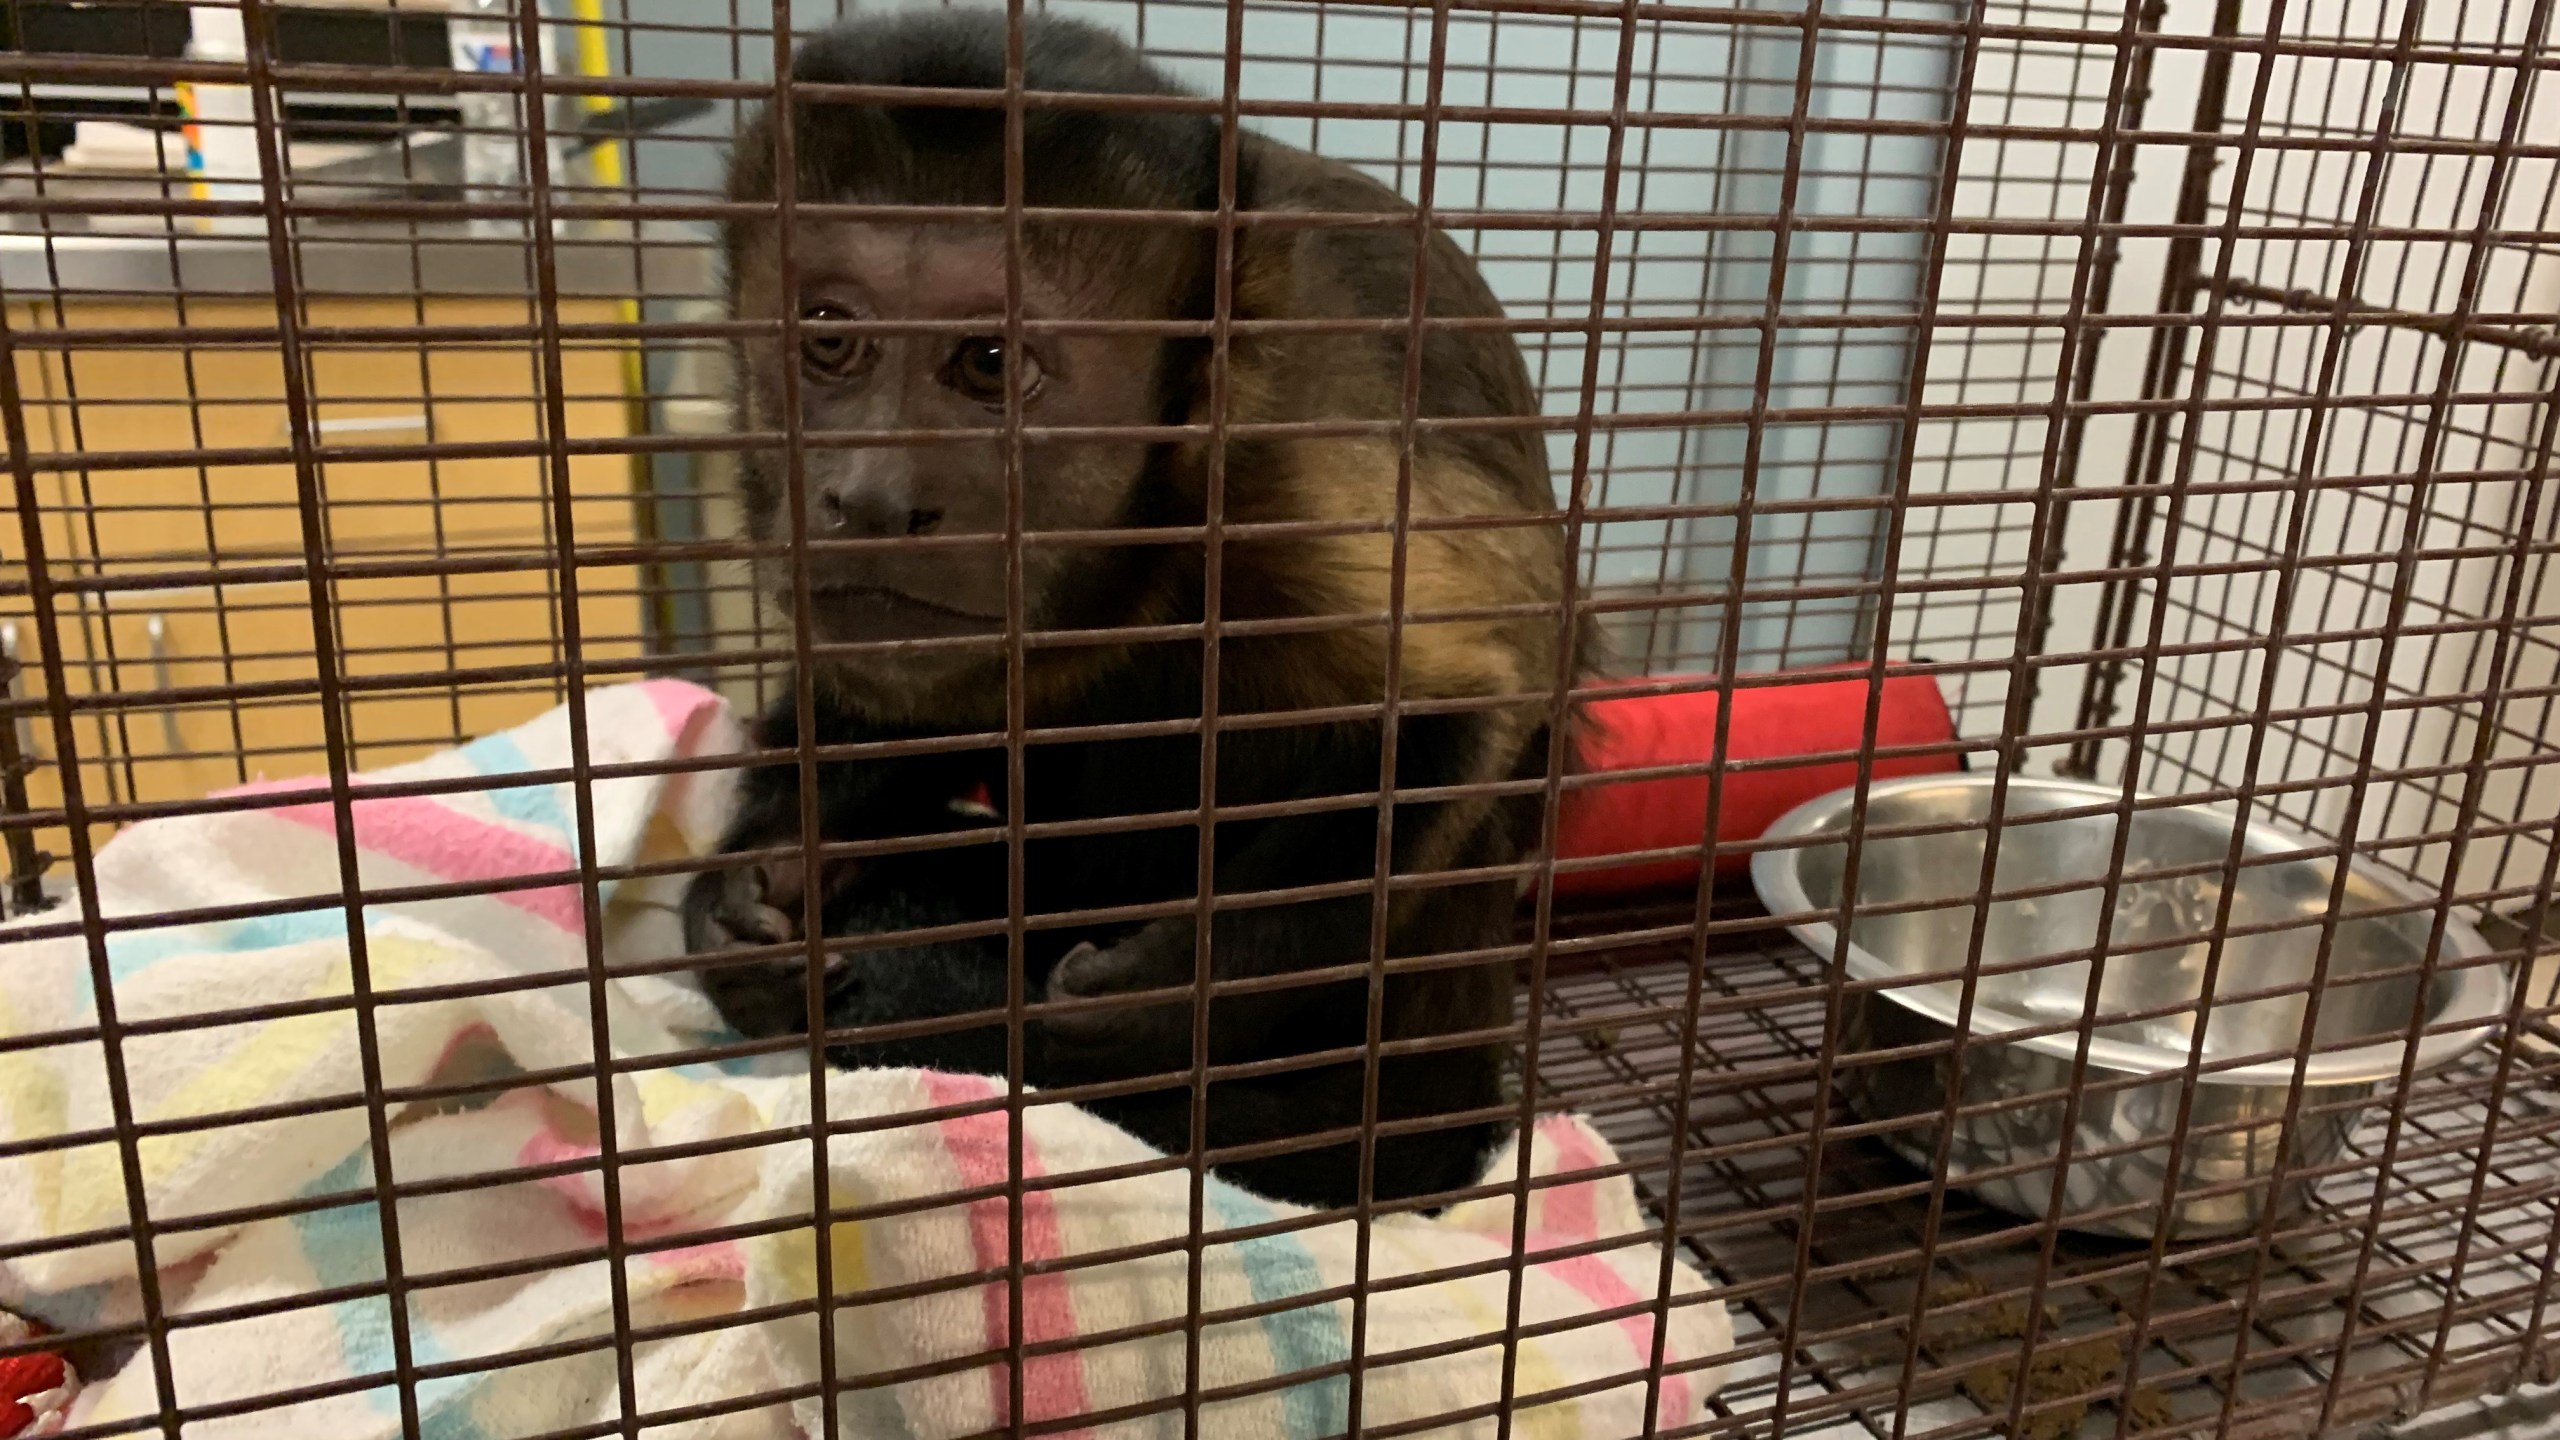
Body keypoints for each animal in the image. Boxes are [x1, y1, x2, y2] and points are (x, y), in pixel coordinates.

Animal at [691, 11, 1587, 1204]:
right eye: (830, 339)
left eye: (988, 362)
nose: (874, 497)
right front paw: (751, 888)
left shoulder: (1293, 451)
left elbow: (1489, 684)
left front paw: (1175, 992)